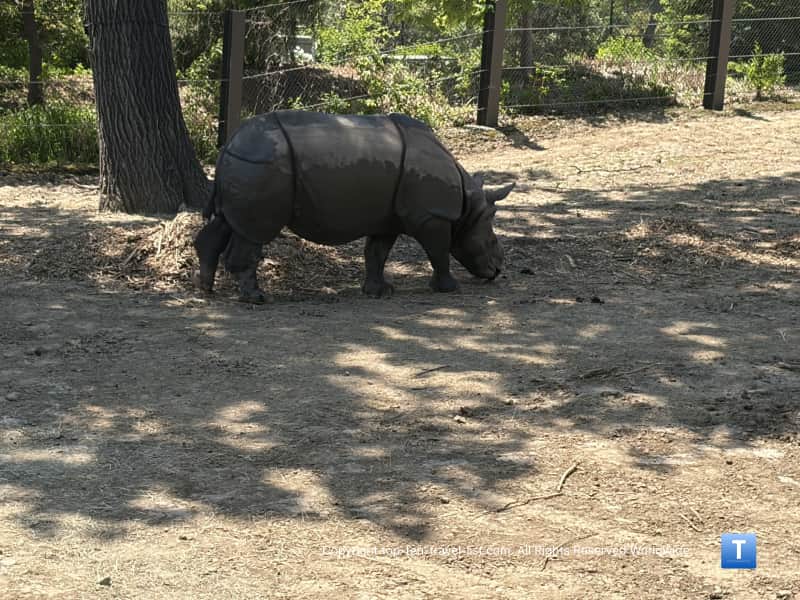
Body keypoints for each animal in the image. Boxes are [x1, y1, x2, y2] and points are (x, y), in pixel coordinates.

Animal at [194, 110, 514, 303]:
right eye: (490, 239)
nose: (498, 270)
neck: (468, 207)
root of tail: (229, 145)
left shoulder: (388, 218)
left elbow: (377, 253)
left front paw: (379, 292)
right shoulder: (431, 216)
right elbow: (439, 251)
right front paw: (448, 288)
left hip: (249, 163)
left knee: (230, 222)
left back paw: (206, 289)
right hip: (262, 163)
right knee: (254, 233)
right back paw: (256, 298)